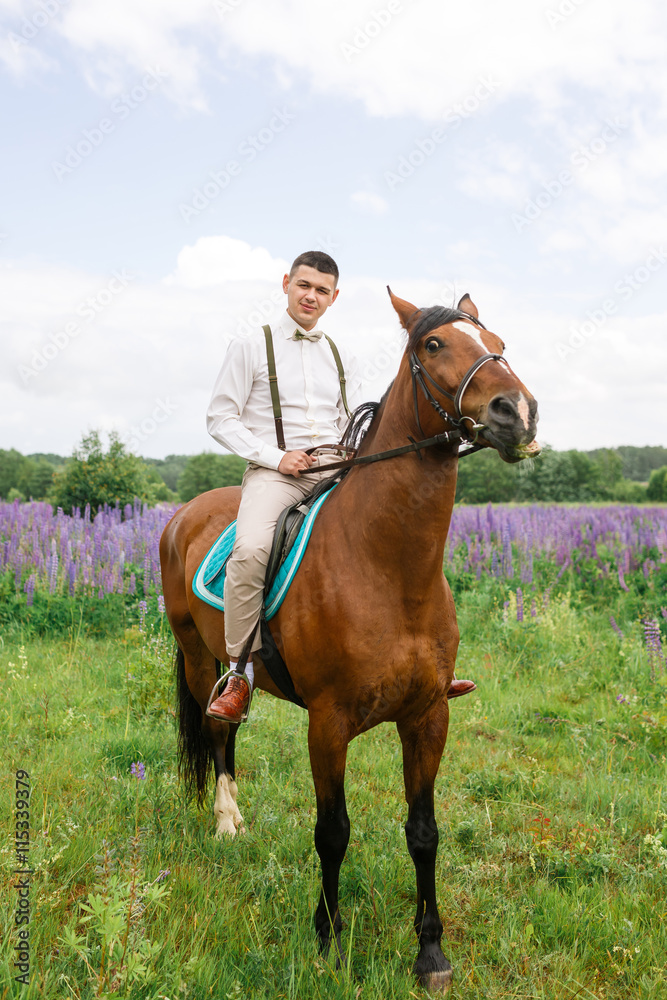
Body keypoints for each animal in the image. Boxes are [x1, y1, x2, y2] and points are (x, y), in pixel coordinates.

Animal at [160, 292, 536, 992]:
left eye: (497, 342)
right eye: (434, 345)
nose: (517, 412)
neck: (389, 568)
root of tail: (186, 514)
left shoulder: (428, 716)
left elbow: (424, 831)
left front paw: (430, 953)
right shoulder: (328, 723)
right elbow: (332, 832)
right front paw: (329, 942)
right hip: (199, 657)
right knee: (218, 729)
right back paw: (226, 824)